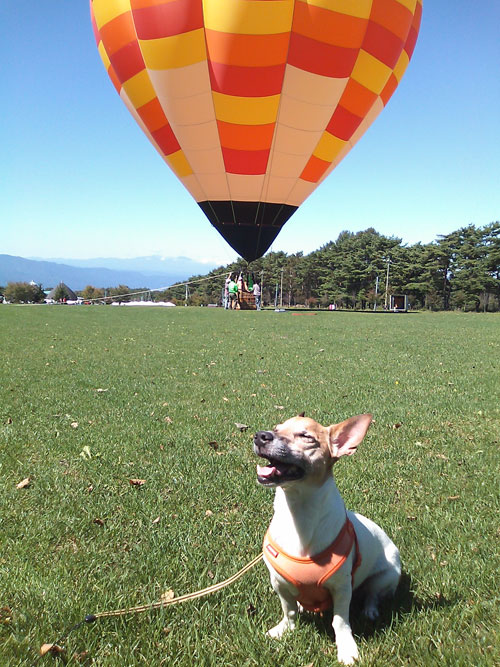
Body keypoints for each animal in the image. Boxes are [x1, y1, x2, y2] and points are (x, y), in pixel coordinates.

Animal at [254, 414, 402, 664]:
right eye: (276, 428)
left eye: (306, 436)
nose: (260, 435)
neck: (299, 513)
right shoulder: (279, 583)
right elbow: (288, 609)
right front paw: (284, 629)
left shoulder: (341, 588)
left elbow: (340, 621)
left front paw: (346, 649)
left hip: (387, 576)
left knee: (373, 594)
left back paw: (370, 610)